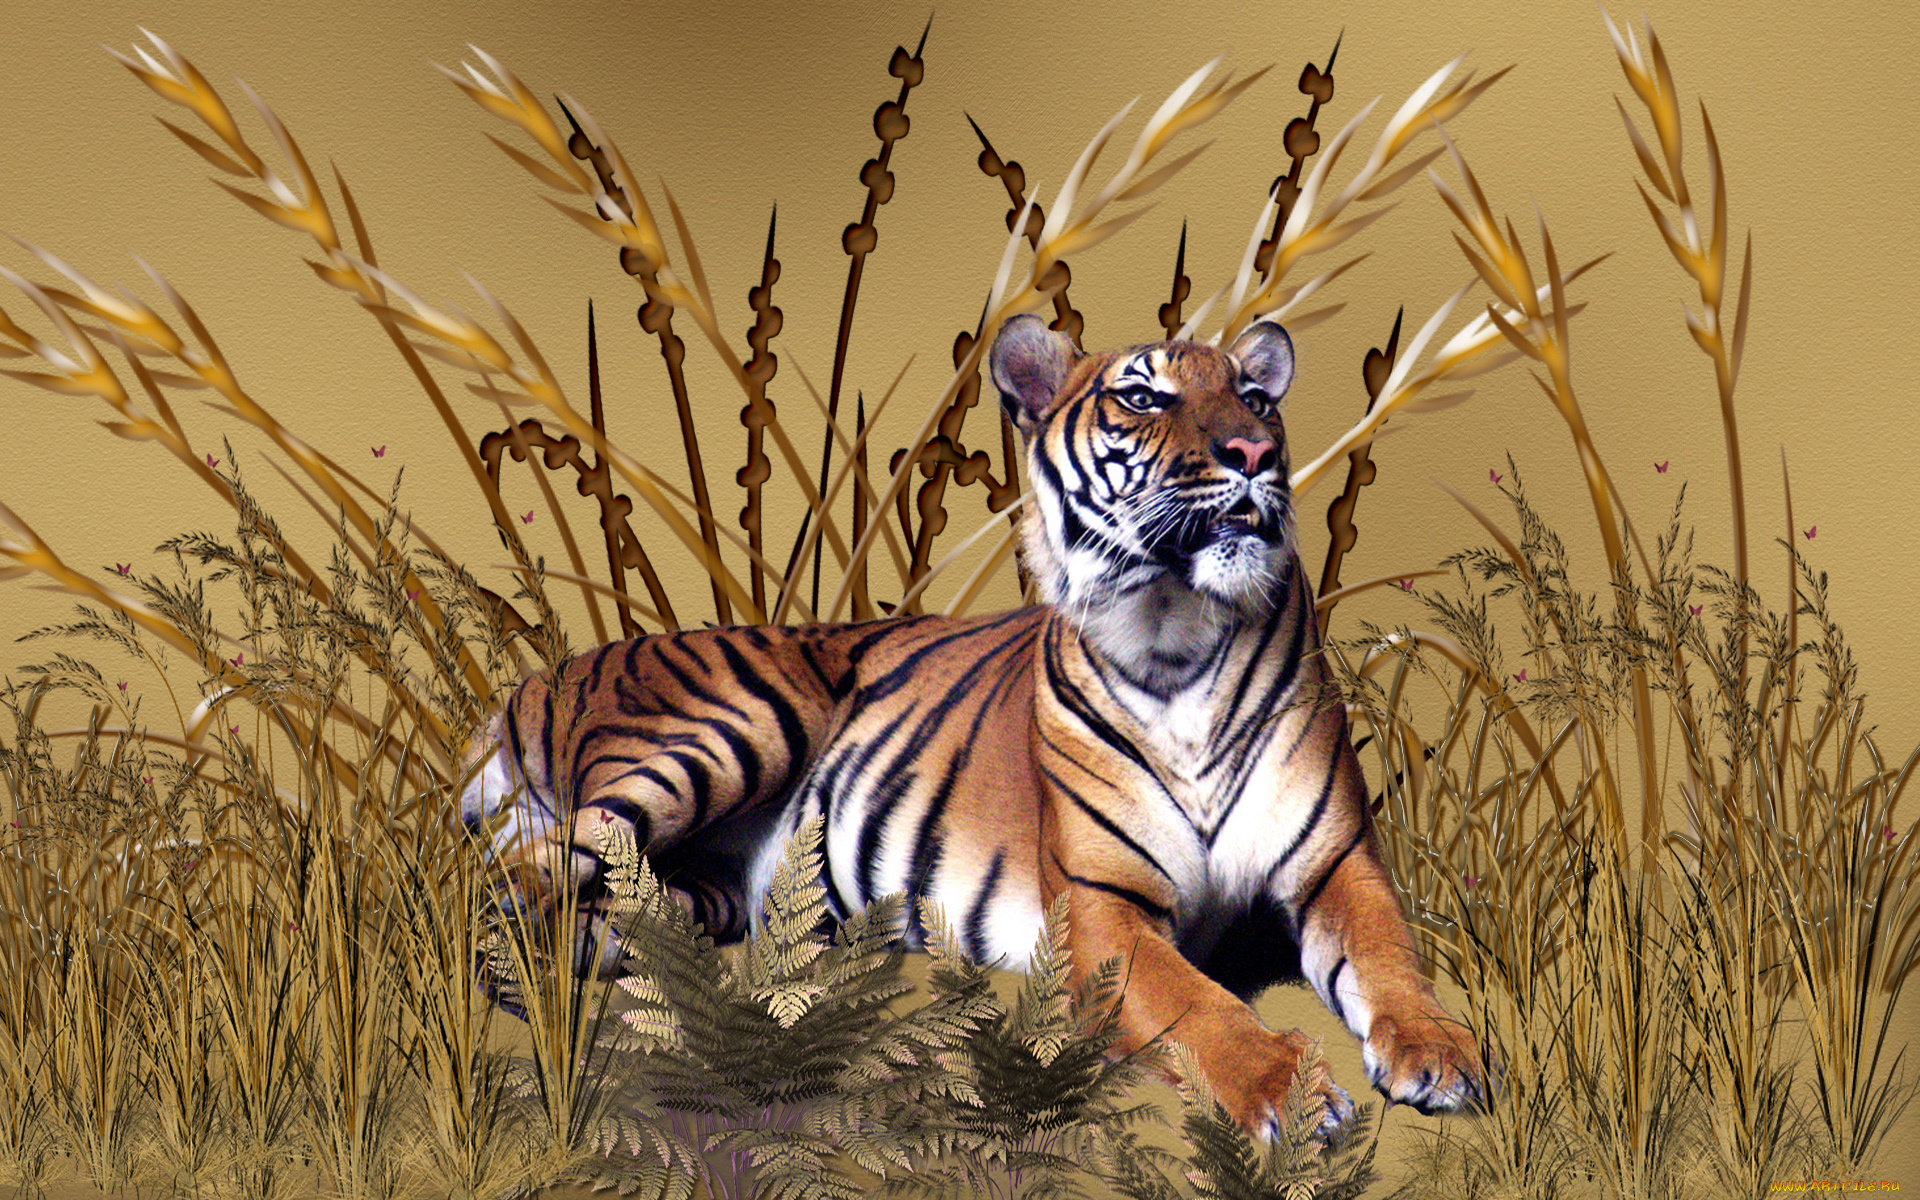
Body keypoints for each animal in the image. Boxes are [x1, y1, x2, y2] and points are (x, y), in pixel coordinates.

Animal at [458, 312, 1488, 1138]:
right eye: (1143, 396)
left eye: (1255, 397)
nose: (1254, 454)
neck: (1180, 641)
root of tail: (541, 674)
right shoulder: (1102, 908)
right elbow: (1197, 1005)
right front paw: (1287, 1086)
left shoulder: (1340, 862)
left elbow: (1390, 957)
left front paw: (1441, 1053)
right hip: (733, 728)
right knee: (506, 883)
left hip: (705, 874)